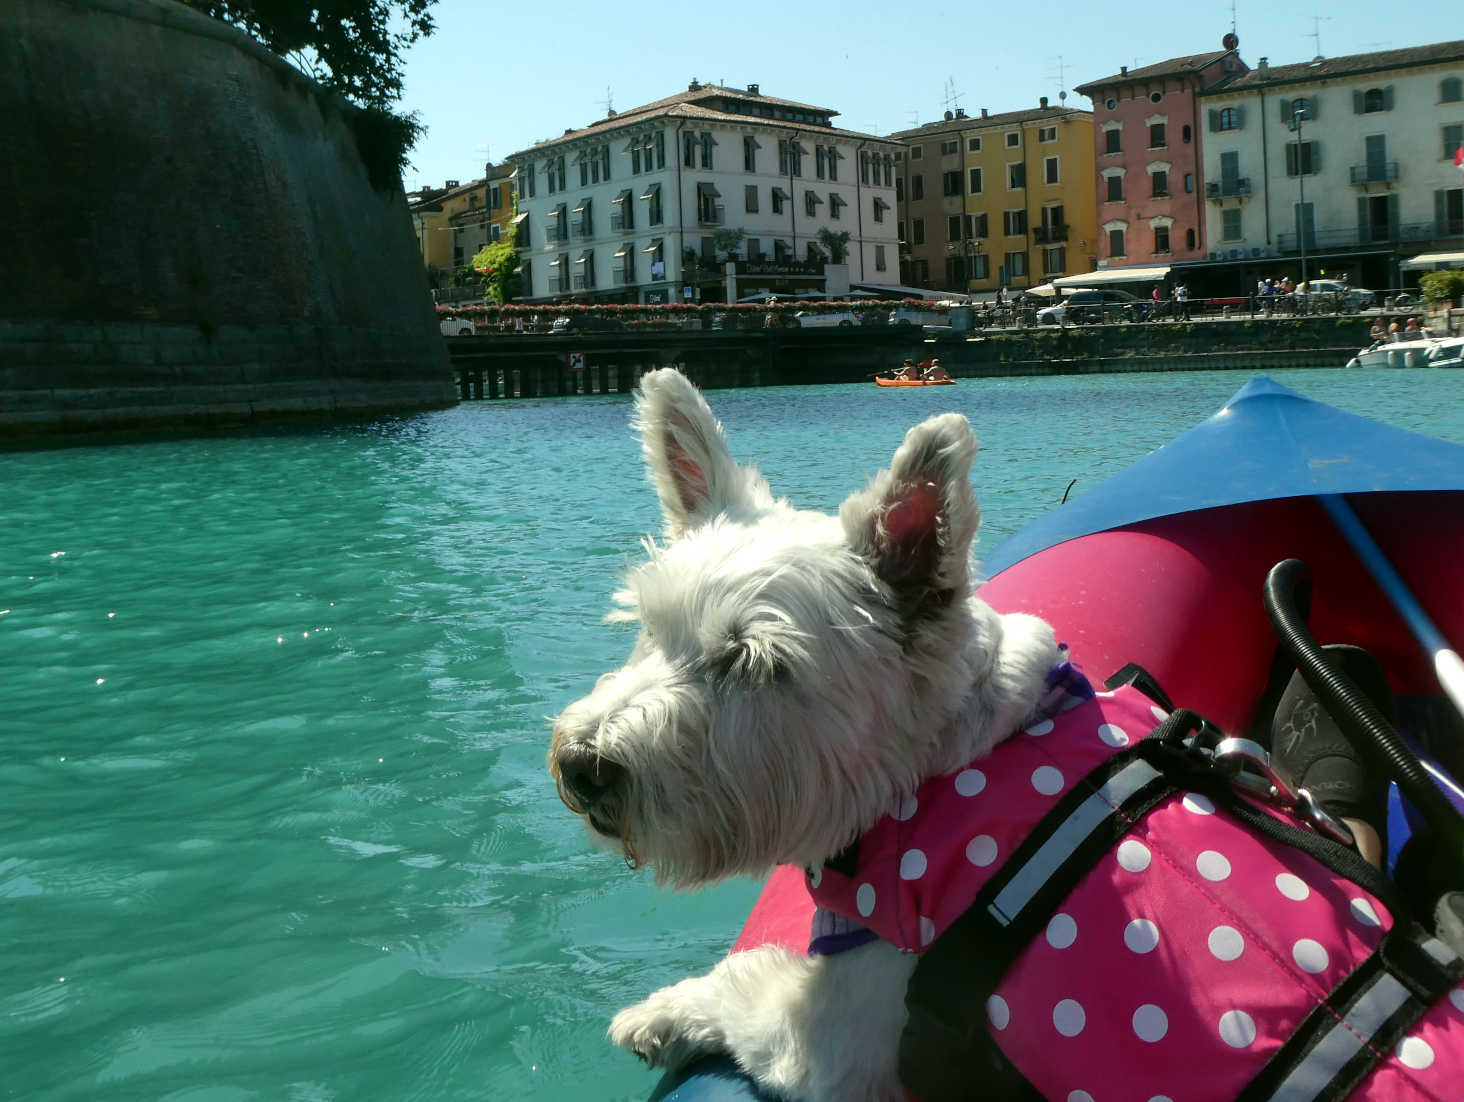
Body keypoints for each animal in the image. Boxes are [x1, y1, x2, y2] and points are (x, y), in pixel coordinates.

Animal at [550, 367, 1065, 1094]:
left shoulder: (838, 1035)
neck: (933, 770)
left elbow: (741, 984)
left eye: (749, 661)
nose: (580, 764)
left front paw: (660, 1014)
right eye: (649, 625)